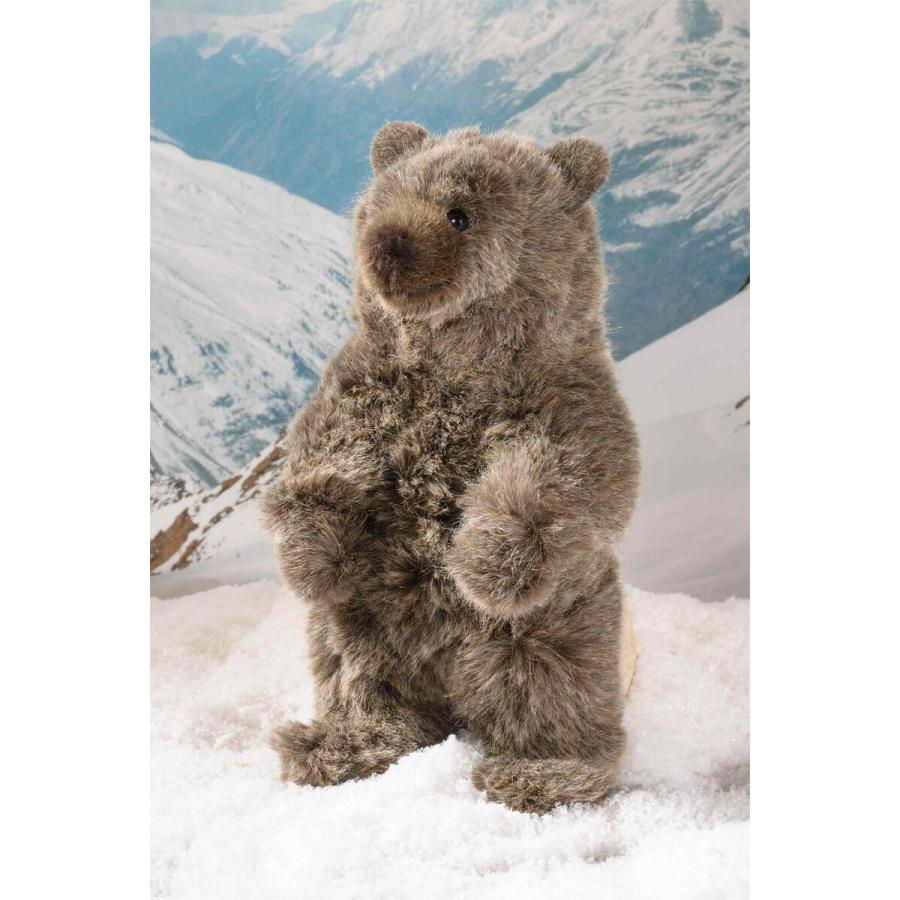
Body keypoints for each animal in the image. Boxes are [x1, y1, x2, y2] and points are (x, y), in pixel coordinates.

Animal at [261, 122, 640, 813]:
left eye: (459, 214)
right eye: (380, 203)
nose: (387, 242)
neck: (449, 370)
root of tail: (444, 692)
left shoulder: (565, 396)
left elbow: (570, 478)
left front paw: (486, 560)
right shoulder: (359, 385)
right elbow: (321, 459)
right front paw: (310, 553)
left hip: (552, 627)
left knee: (548, 686)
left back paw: (541, 773)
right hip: (355, 626)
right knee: (356, 679)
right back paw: (346, 747)